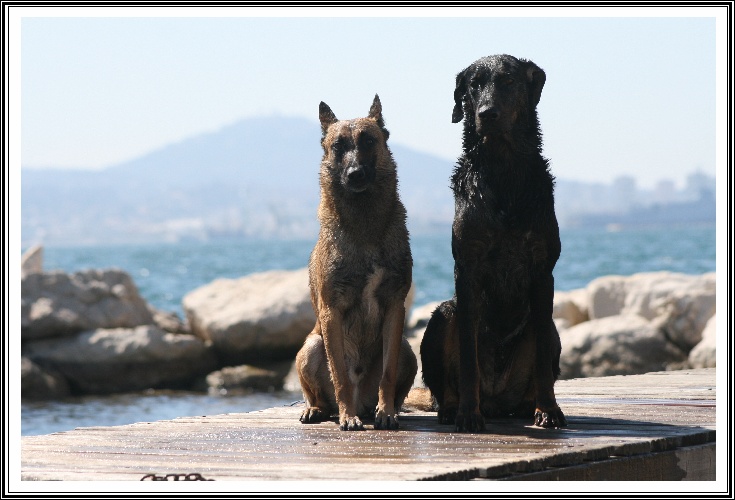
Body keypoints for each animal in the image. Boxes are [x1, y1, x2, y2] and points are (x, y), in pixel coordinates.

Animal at [294, 95, 420, 432]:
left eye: (368, 141)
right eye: (338, 146)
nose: (355, 174)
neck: (364, 227)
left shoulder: (395, 307)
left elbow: (388, 374)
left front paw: (386, 412)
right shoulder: (331, 312)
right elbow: (339, 374)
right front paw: (346, 416)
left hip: (407, 348)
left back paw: (385, 409)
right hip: (310, 347)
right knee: (319, 394)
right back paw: (320, 410)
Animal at [420, 53, 568, 430]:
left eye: (508, 81)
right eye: (474, 85)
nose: (486, 113)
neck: (503, 169)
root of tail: (497, 399)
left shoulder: (543, 267)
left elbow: (542, 357)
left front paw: (549, 410)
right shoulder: (467, 265)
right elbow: (468, 355)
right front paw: (467, 415)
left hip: (548, 328)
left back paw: (530, 405)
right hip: (443, 317)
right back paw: (454, 408)